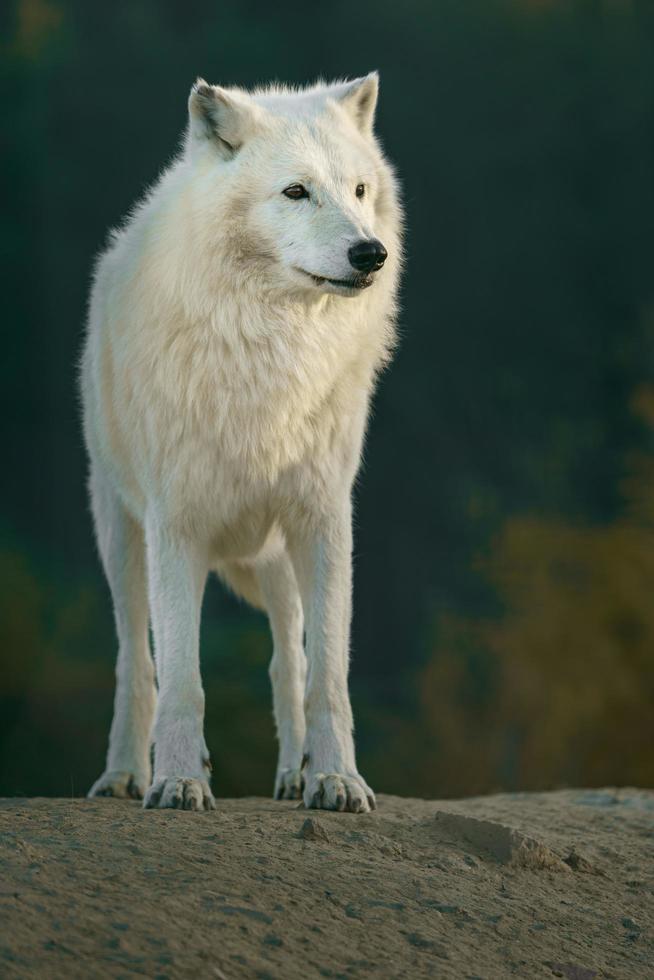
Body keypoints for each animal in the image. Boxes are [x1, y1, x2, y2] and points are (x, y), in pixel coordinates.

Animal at [82, 74, 404, 812]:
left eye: (359, 191)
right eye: (295, 192)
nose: (370, 253)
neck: (272, 355)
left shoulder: (324, 517)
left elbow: (327, 676)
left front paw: (337, 779)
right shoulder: (176, 527)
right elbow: (181, 677)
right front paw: (177, 781)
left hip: (276, 556)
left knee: (288, 659)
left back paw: (294, 777)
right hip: (121, 535)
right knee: (134, 660)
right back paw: (124, 775)